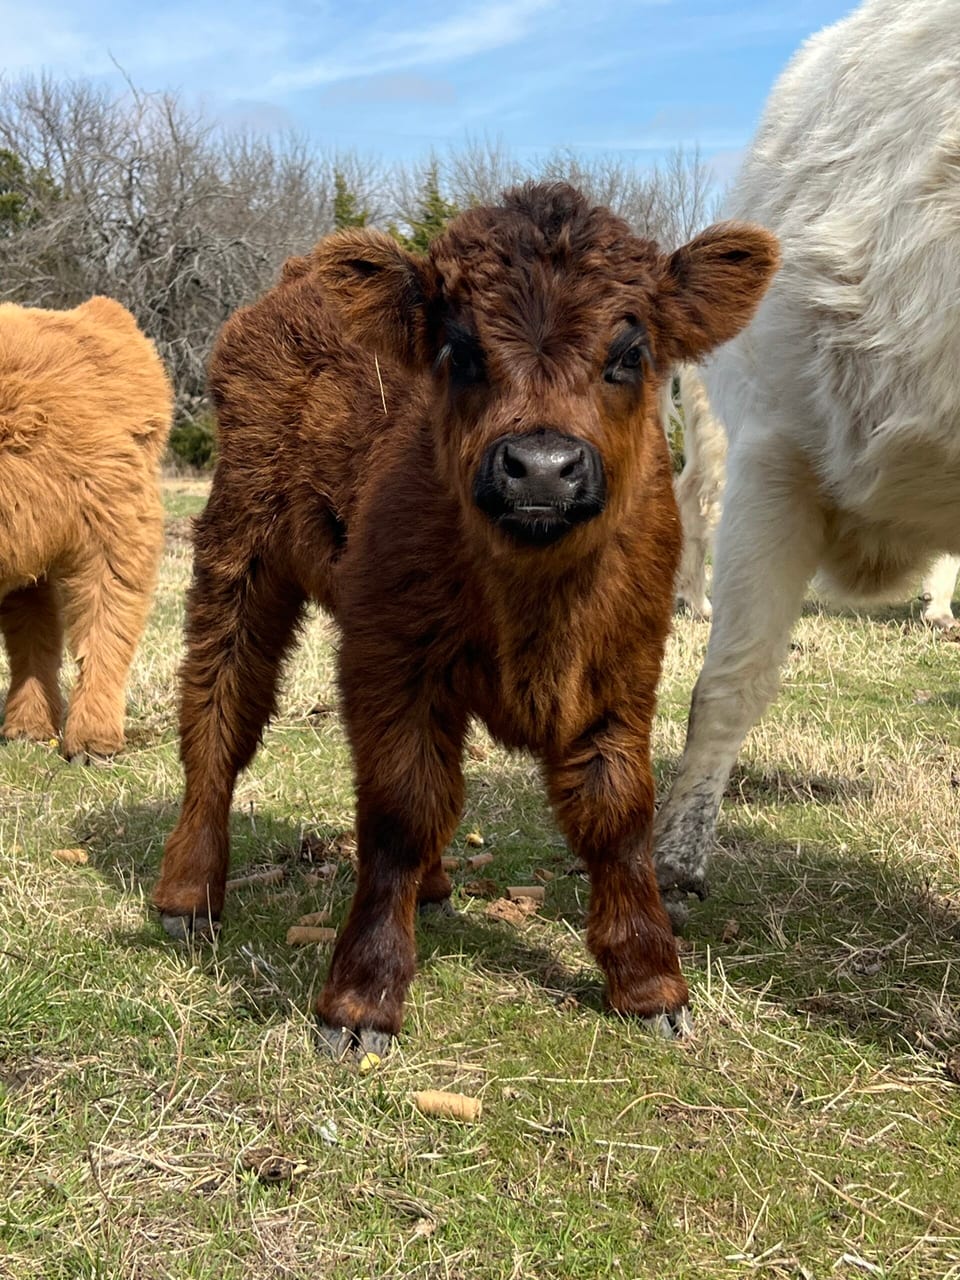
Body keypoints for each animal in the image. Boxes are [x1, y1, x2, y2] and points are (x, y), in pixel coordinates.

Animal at [0, 297, 172, 761]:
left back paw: (92, 741)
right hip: (33, 548)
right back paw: (28, 727)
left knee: (106, 623)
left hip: (114, 528)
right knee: (35, 633)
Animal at [150, 182, 778, 1055]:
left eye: (629, 352)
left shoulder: (624, 672)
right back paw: (188, 895)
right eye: (460, 349)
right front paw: (359, 1002)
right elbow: (400, 809)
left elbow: (616, 812)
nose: (540, 469)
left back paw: (436, 889)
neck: (534, 598)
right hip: (237, 555)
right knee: (220, 711)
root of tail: (291, 283)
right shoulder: (388, 658)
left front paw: (652, 986)